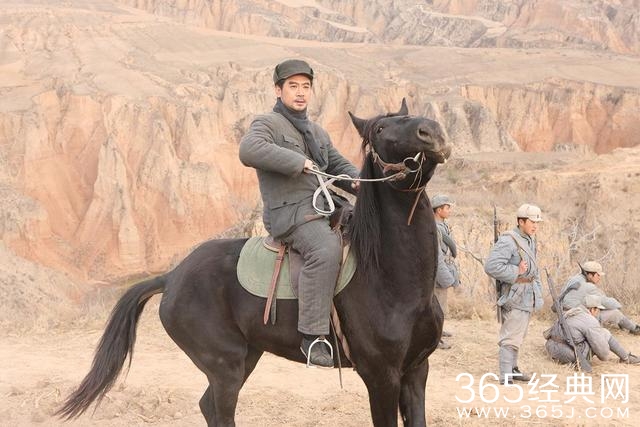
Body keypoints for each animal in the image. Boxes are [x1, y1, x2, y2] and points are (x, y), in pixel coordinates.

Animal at [57, 99, 451, 427]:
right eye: (381, 129)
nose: (432, 132)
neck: (389, 277)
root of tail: (171, 277)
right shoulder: (380, 376)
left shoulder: (417, 372)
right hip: (225, 366)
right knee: (219, 409)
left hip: (248, 355)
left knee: (208, 406)